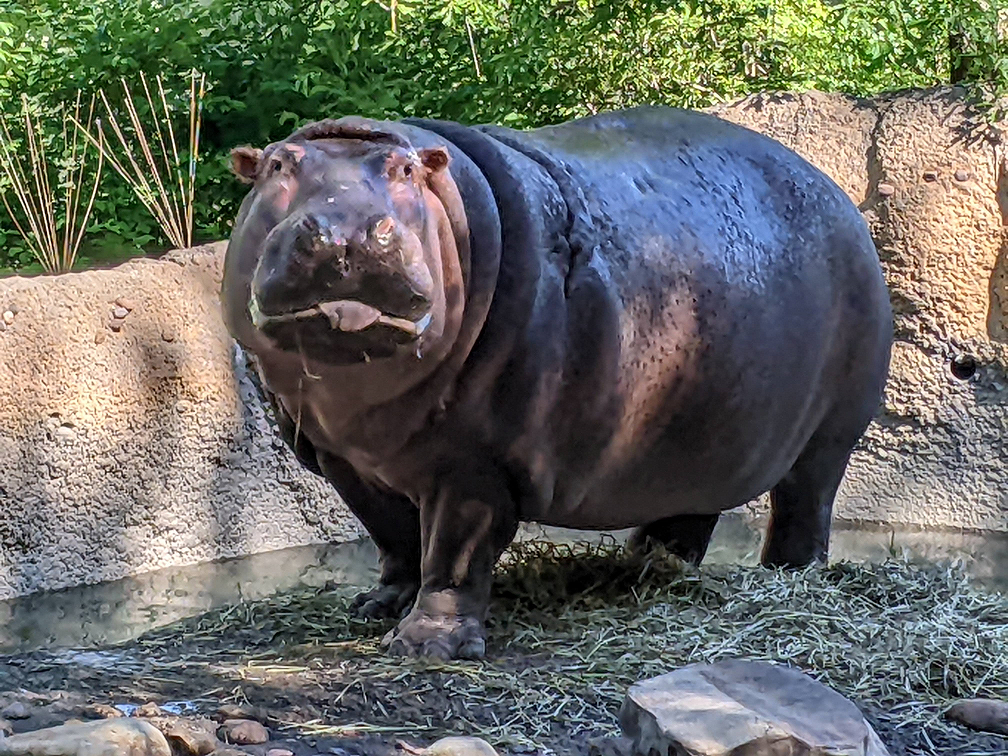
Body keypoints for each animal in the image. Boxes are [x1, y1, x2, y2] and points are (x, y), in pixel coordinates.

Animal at [221, 106, 893, 660]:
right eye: (278, 165)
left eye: (406, 170)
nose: (348, 230)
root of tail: (835, 193)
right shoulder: (340, 458)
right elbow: (394, 539)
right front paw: (376, 607)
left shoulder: (474, 462)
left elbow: (453, 553)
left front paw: (427, 647)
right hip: (701, 430)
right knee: (689, 510)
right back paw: (648, 569)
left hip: (831, 432)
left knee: (805, 502)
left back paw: (789, 577)